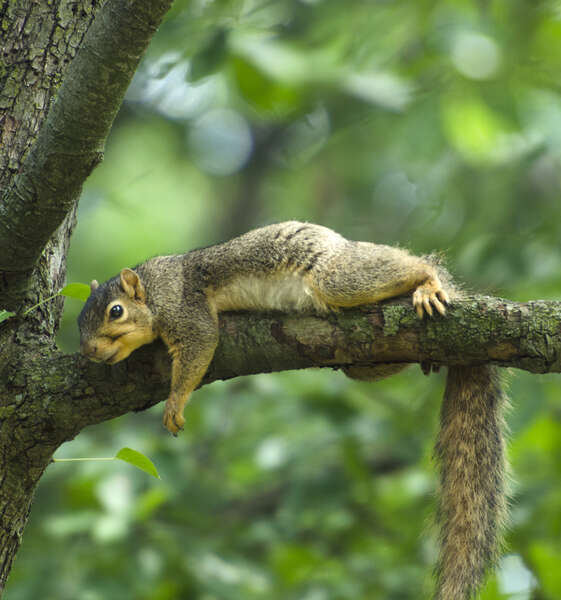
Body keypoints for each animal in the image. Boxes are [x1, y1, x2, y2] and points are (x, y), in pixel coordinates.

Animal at [77, 221, 508, 600]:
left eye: (115, 312)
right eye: (80, 321)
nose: (90, 351)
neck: (153, 289)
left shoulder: (186, 308)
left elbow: (199, 347)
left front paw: (175, 403)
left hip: (338, 276)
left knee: (409, 265)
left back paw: (429, 283)